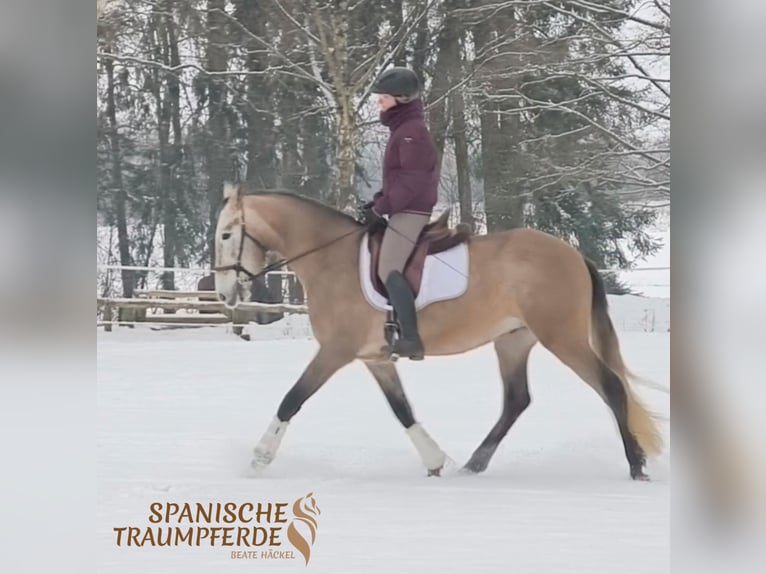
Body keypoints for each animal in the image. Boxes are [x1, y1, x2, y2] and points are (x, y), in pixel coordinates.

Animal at [213, 182, 663, 480]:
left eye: (226, 234)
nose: (223, 293)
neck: (330, 258)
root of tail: (572, 254)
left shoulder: (335, 352)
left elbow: (293, 398)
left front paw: (259, 457)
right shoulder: (375, 358)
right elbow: (402, 410)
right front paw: (434, 462)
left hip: (562, 337)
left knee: (610, 385)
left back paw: (636, 466)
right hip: (513, 340)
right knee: (517, 400)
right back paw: (474, 465)